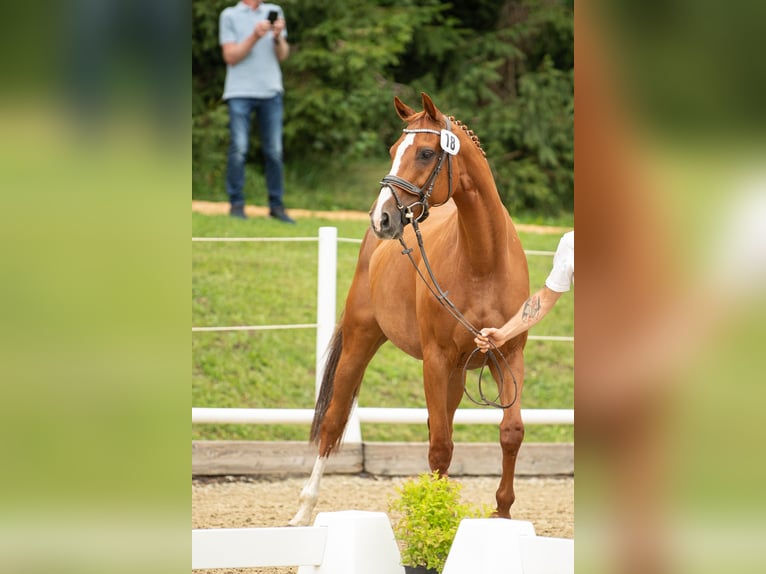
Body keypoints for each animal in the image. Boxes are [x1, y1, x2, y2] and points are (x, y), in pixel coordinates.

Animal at [289, 92, 529, 526]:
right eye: (392, 151)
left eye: (426, 152)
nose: (382, 217)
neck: (484, 261)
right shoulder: (435, 359)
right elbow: (439, 446)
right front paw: (435, 519)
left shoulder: (507, 355)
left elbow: (509, 432)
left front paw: (501, 514)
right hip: (361, 342)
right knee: (334, 422)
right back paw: (304, 511)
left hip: (455, 374)